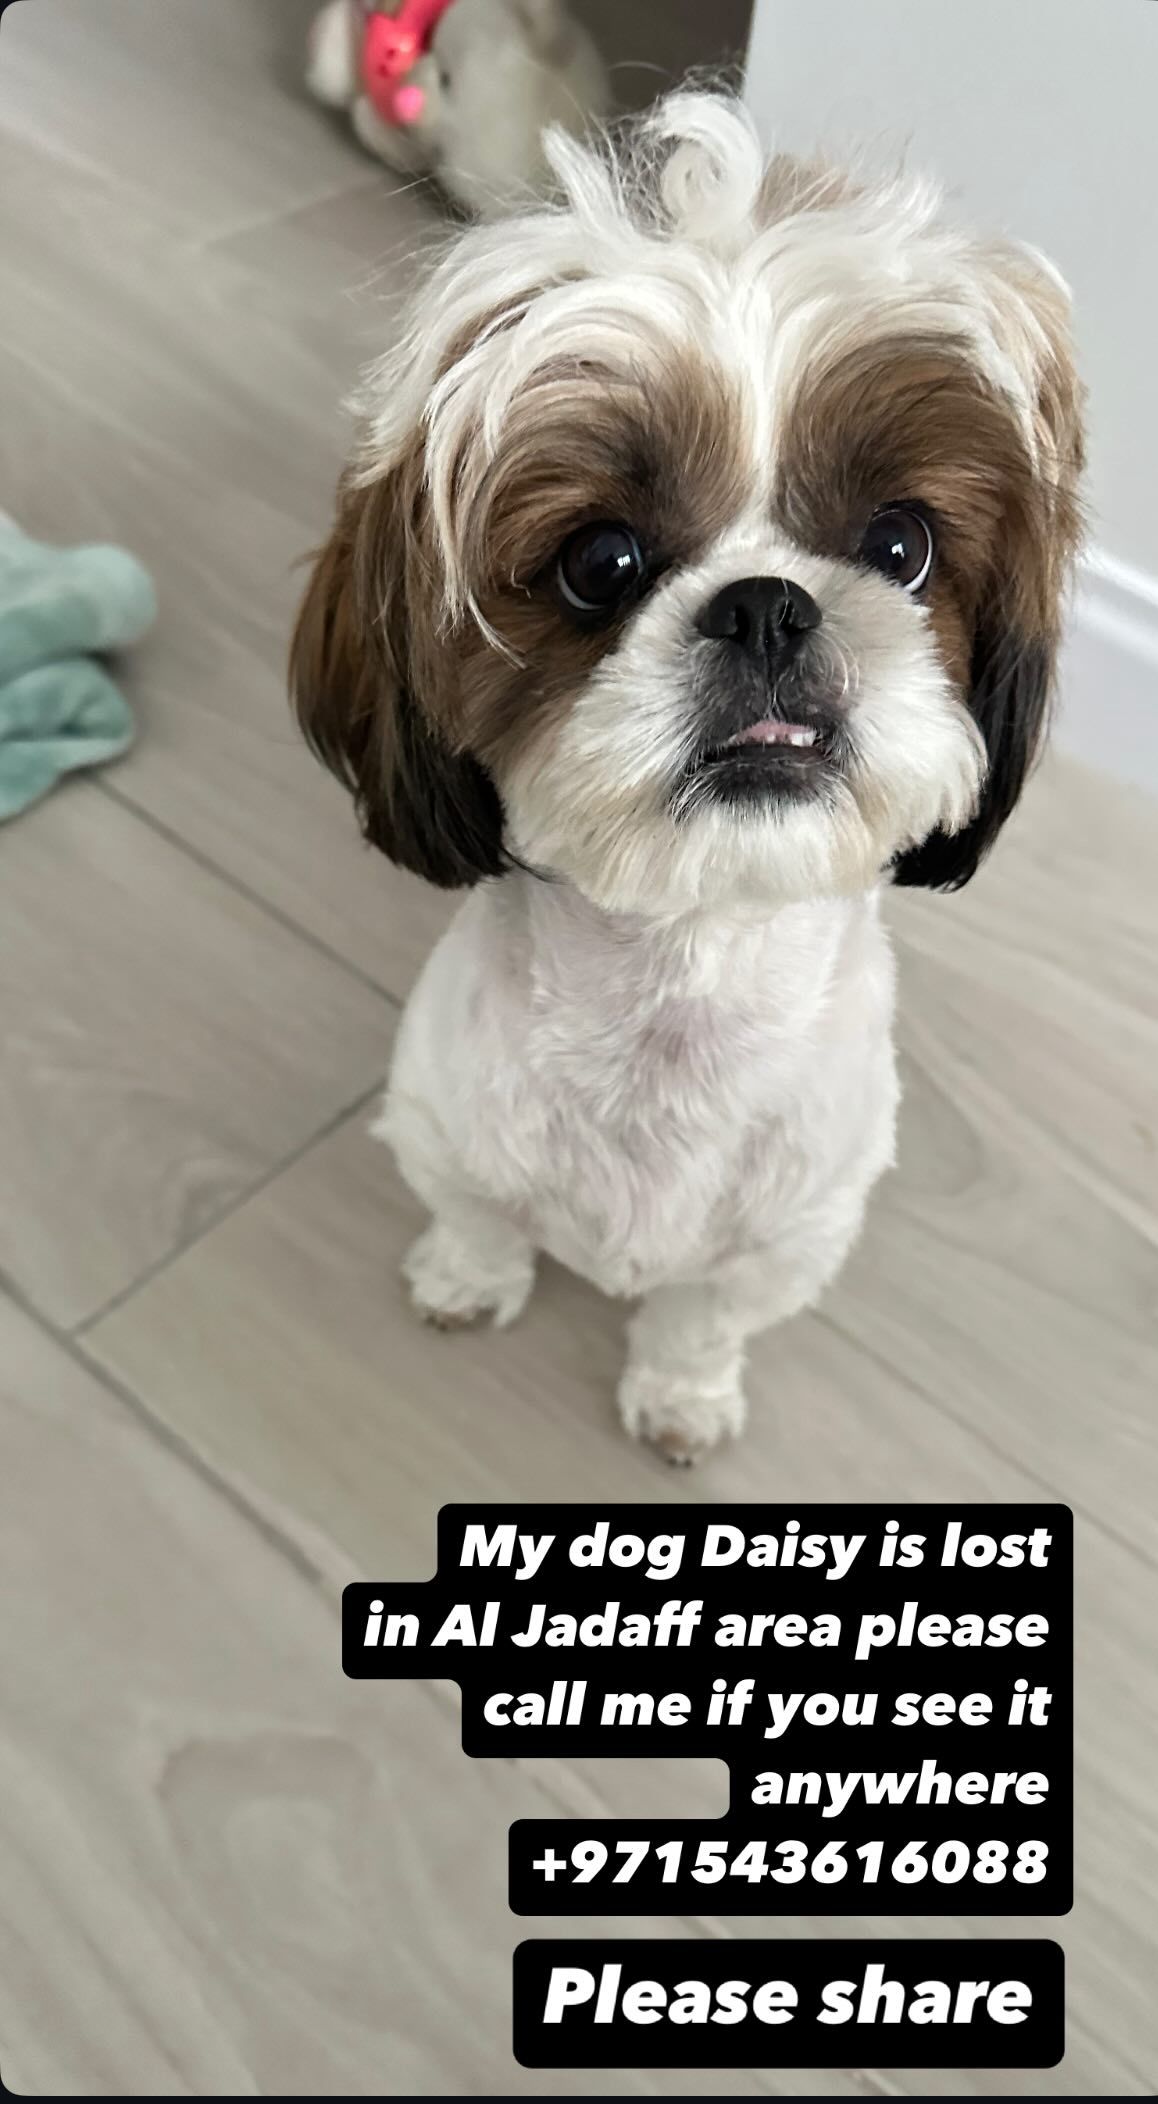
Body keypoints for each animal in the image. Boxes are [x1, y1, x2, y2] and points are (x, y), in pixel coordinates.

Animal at [291, 93, 1084, 1461]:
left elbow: (697, 1319)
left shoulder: (784, 1240)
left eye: (901, 545)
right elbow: (481, 1219)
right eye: (599, 560)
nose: (767, 606)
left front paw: (681, 1399)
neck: (680, 999)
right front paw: (468, 1282)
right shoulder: (445, 1129)